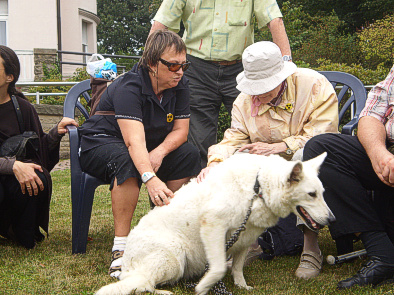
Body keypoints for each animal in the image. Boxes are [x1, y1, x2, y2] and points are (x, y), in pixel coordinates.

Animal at [95, 154, 336, 294]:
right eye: (311, 194)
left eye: (322, 193)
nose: (332, 220)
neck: (256, 188)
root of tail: (126, 267)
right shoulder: (214, 226)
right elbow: (219, 267)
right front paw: (203, 286)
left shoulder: (245, 238)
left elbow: (237, 267)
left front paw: (241, 286)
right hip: (174, 256)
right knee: (142, 284)